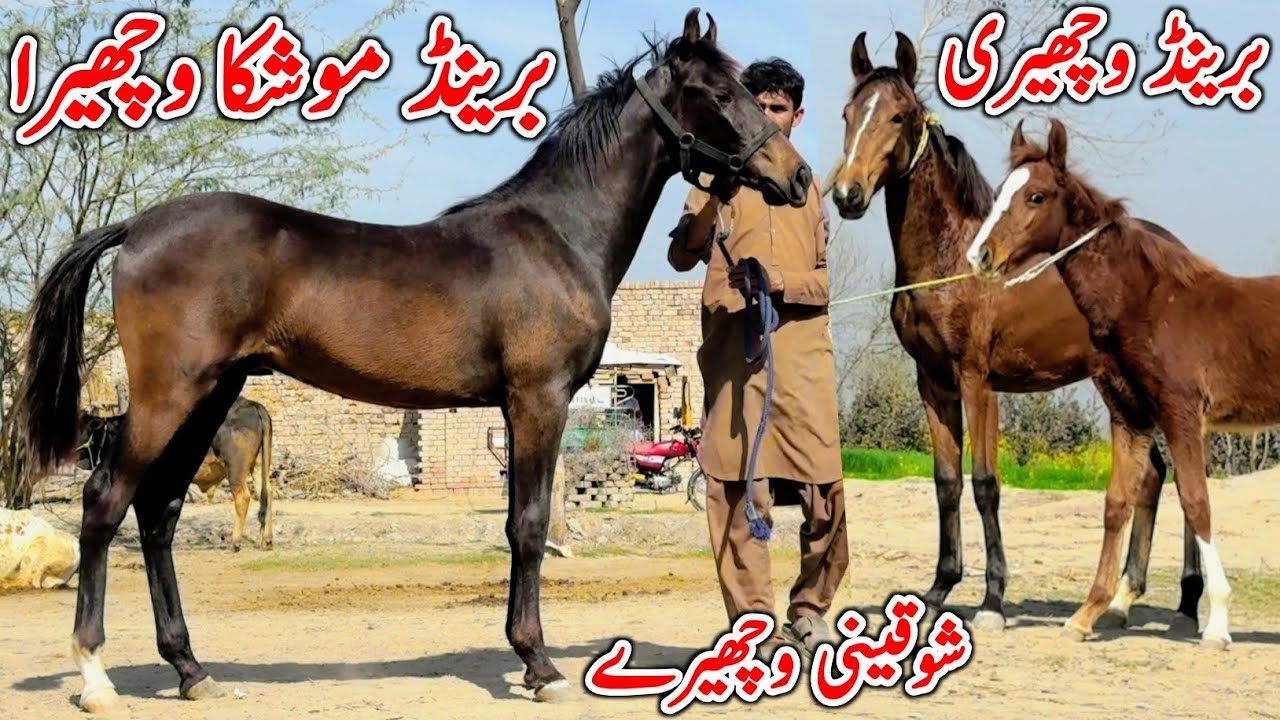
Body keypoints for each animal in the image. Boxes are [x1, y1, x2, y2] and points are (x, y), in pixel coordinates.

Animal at [13, 9, 812, 712]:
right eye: (720, 95)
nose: (797, 177)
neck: (558, 233)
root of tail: (138, 227)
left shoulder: (520, 407)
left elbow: (522, 524)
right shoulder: (538, 399)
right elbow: (528, 525)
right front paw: (540, 665)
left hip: (210, 396)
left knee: (159, 511)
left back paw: (190, 669)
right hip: (168, 396)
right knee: (105, 502)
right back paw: (96, 678)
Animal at [825, 31, 1191, 633]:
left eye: (899, 116)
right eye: (848, 114)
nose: (847, 195)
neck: (951, 262)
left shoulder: (977, 381)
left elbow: (985, 484)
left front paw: (992, 601)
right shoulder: (933, 383)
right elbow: (946, 483)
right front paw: (938, 590)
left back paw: (1179, 598)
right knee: (1156, 473)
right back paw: (1125, 599)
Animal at [968, 117, 1277, 649]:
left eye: (1037, 196)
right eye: (1002, 189)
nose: (981, 255)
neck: (1151, 304)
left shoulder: (1180, 414)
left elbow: (1196, 502)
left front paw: (1217, 625)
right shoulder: (1130, 416)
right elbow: (1117, 504)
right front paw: (1088, 613)